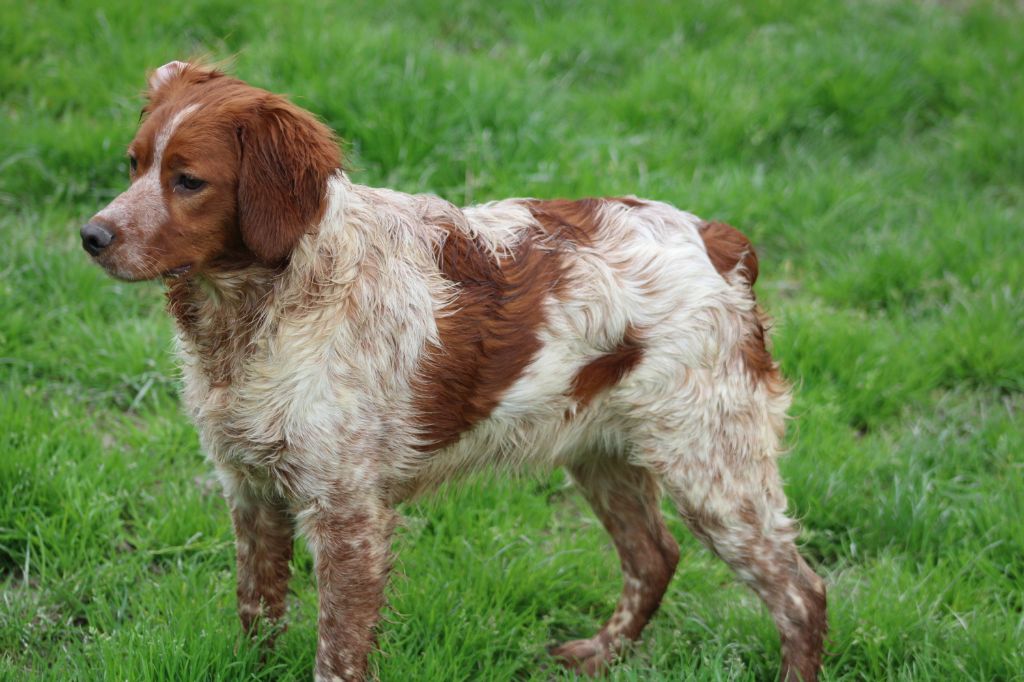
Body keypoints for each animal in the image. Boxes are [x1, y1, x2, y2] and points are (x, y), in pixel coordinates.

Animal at [83, 61, 827, 675]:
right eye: (132, 165)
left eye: (188, 181)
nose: (92, 235)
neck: (262, 309)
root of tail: (719, 240)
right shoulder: (249, 488)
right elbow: (257, 613)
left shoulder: (347, 511)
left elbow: (337, 651)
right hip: (604, 452)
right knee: (654, 557)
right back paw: (599, 654)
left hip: (713, 467)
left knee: (802, 594)